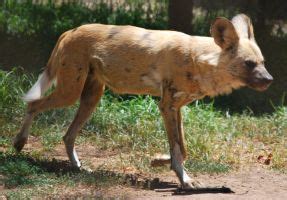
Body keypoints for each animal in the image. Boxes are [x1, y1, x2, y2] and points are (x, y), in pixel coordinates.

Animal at [14, 14, 274, 189]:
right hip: (69, 93)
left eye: (263, 62)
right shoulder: (167, 106)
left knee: (68, 135)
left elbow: (182, 149)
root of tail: (71, 31)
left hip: (90, 99)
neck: (200, 59)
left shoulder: (176, 108)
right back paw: (19, 143)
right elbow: (178, 149)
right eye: (249, 64)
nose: (270, 80)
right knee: (33, 105)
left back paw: (78, 168)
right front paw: (183, 179)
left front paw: (159, 161)